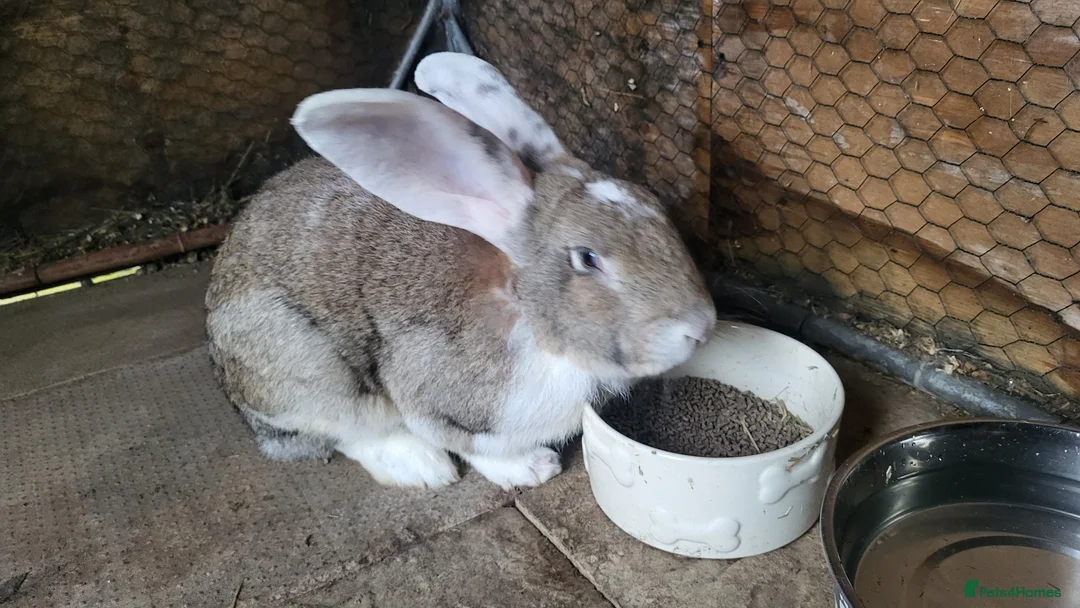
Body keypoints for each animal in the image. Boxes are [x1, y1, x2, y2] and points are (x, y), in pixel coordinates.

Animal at [204, 51, 717, 490]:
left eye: (658, 207)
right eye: (588, 258)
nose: (701, 327)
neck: (526, 313)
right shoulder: (437, 401)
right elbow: (470, 446)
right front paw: (533, 469)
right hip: (312, 375)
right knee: (342, 434)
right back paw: (422, 468)